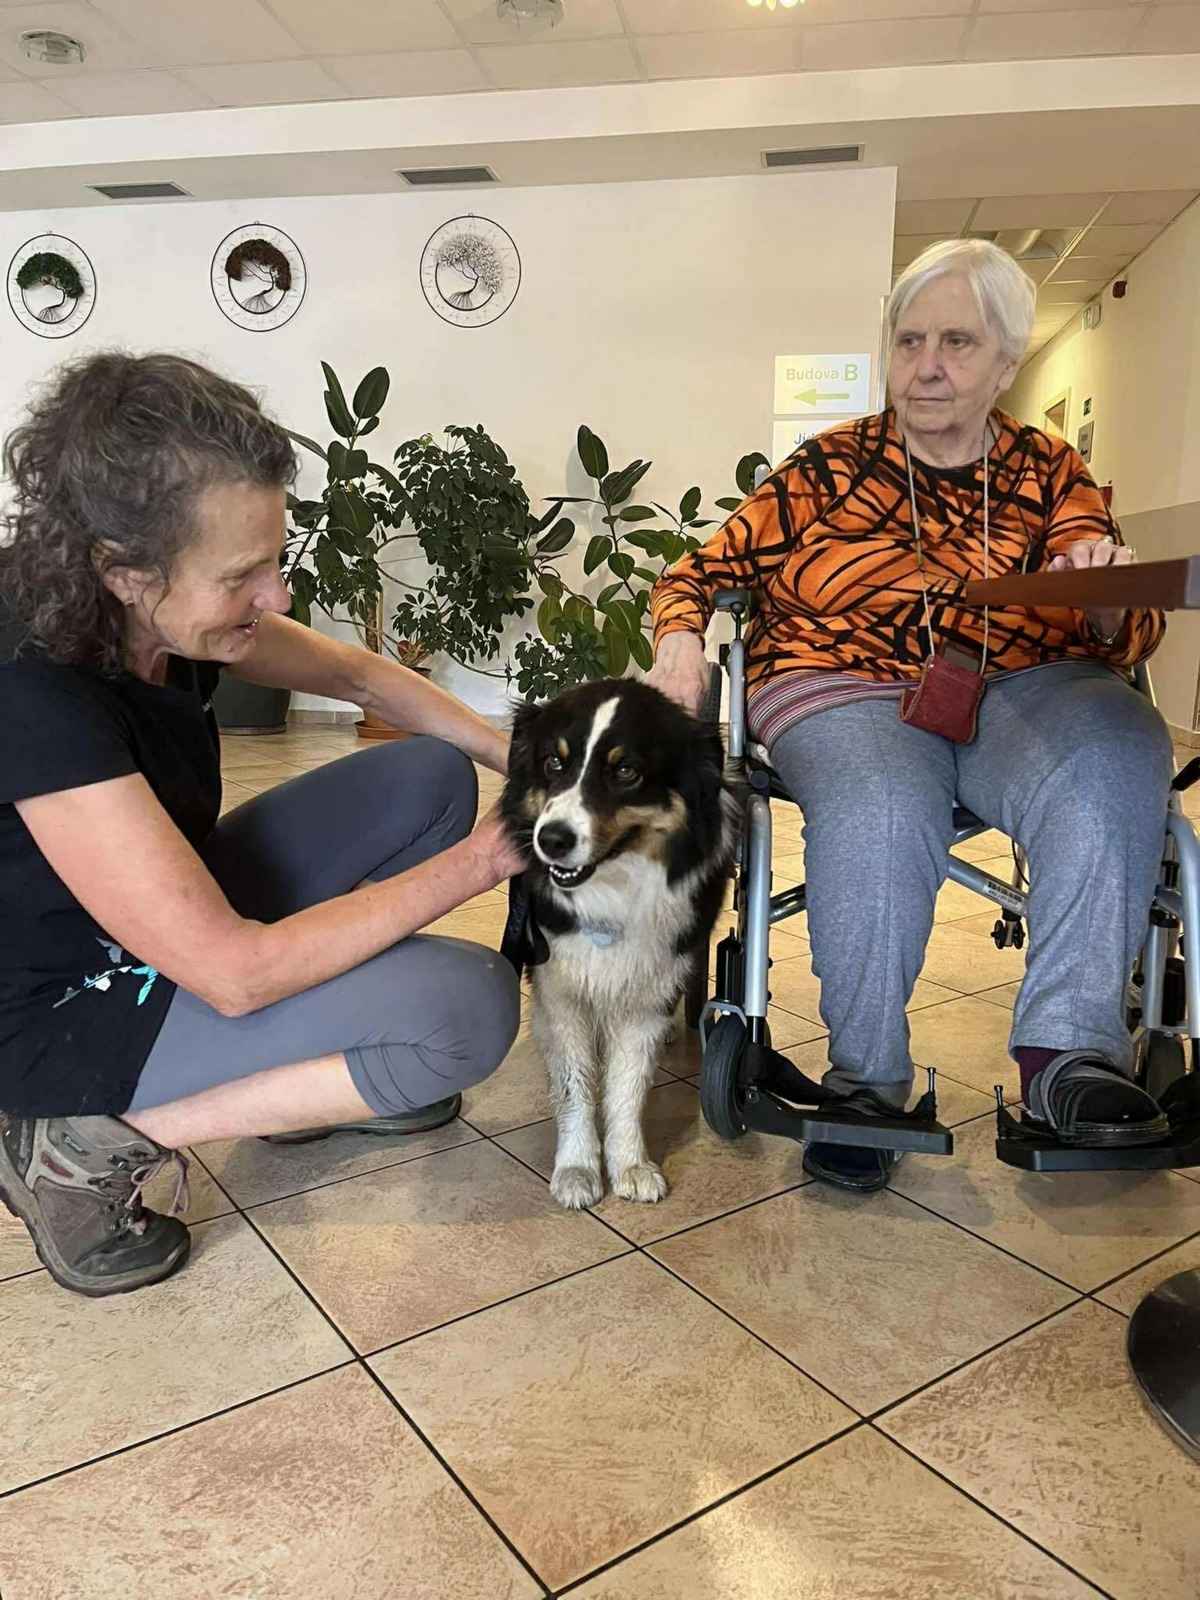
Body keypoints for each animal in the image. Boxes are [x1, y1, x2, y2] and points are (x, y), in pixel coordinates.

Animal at [501, 678, 739, 1210]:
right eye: (553, 764)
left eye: (626, 771)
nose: (552, 840)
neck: (613, 886)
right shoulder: (559, 988)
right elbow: (574, 1084)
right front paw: (576, 1169)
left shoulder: (648, 989)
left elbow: (628, 1088)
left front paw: (630, 1166)